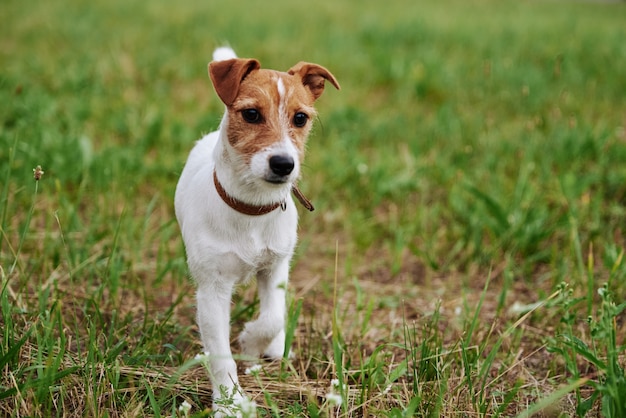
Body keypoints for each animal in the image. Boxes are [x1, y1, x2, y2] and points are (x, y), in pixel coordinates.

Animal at [173, 47, 338, 416]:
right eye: (250, 114)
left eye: (300, 118)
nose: (284, 164)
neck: (250, 208)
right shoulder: (212, 289)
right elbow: (220, 355)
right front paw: (231, 403)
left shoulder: (275, 267)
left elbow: (273, 316)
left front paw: (251, 341)